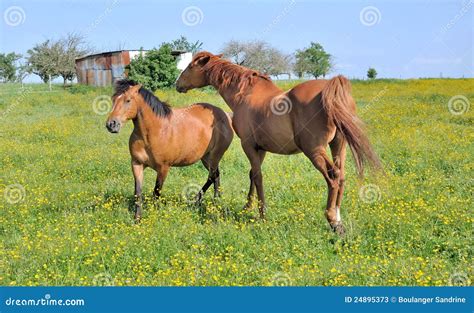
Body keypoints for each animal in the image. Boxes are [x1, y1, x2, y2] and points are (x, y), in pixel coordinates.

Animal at [106, 79, 234, 221]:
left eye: (128, 100)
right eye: (114, 99)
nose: (111, 124)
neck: (153, 131)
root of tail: (225, 115)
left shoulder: (163, 168)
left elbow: (156, 191)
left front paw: (154, 214)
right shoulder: (136, 164)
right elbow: (137, 193)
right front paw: (137, 218)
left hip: (215, 155)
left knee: (213, 176)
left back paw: (199, 200)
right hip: (206, 158)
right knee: (216, 176)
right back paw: (213, 201)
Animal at [175, 51, 382, 233]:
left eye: (190, 66)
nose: (178, 84)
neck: (245, 94)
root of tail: (332, 89)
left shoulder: (248, 145)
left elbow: (258, 177)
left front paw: (262, 214)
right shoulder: (261, 149)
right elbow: (252, 175)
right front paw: (247, 207)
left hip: (315, 150)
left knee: (333, 176)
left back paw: (333, 220)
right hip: (338, 146)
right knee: (341, 176)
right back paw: (339, 219)